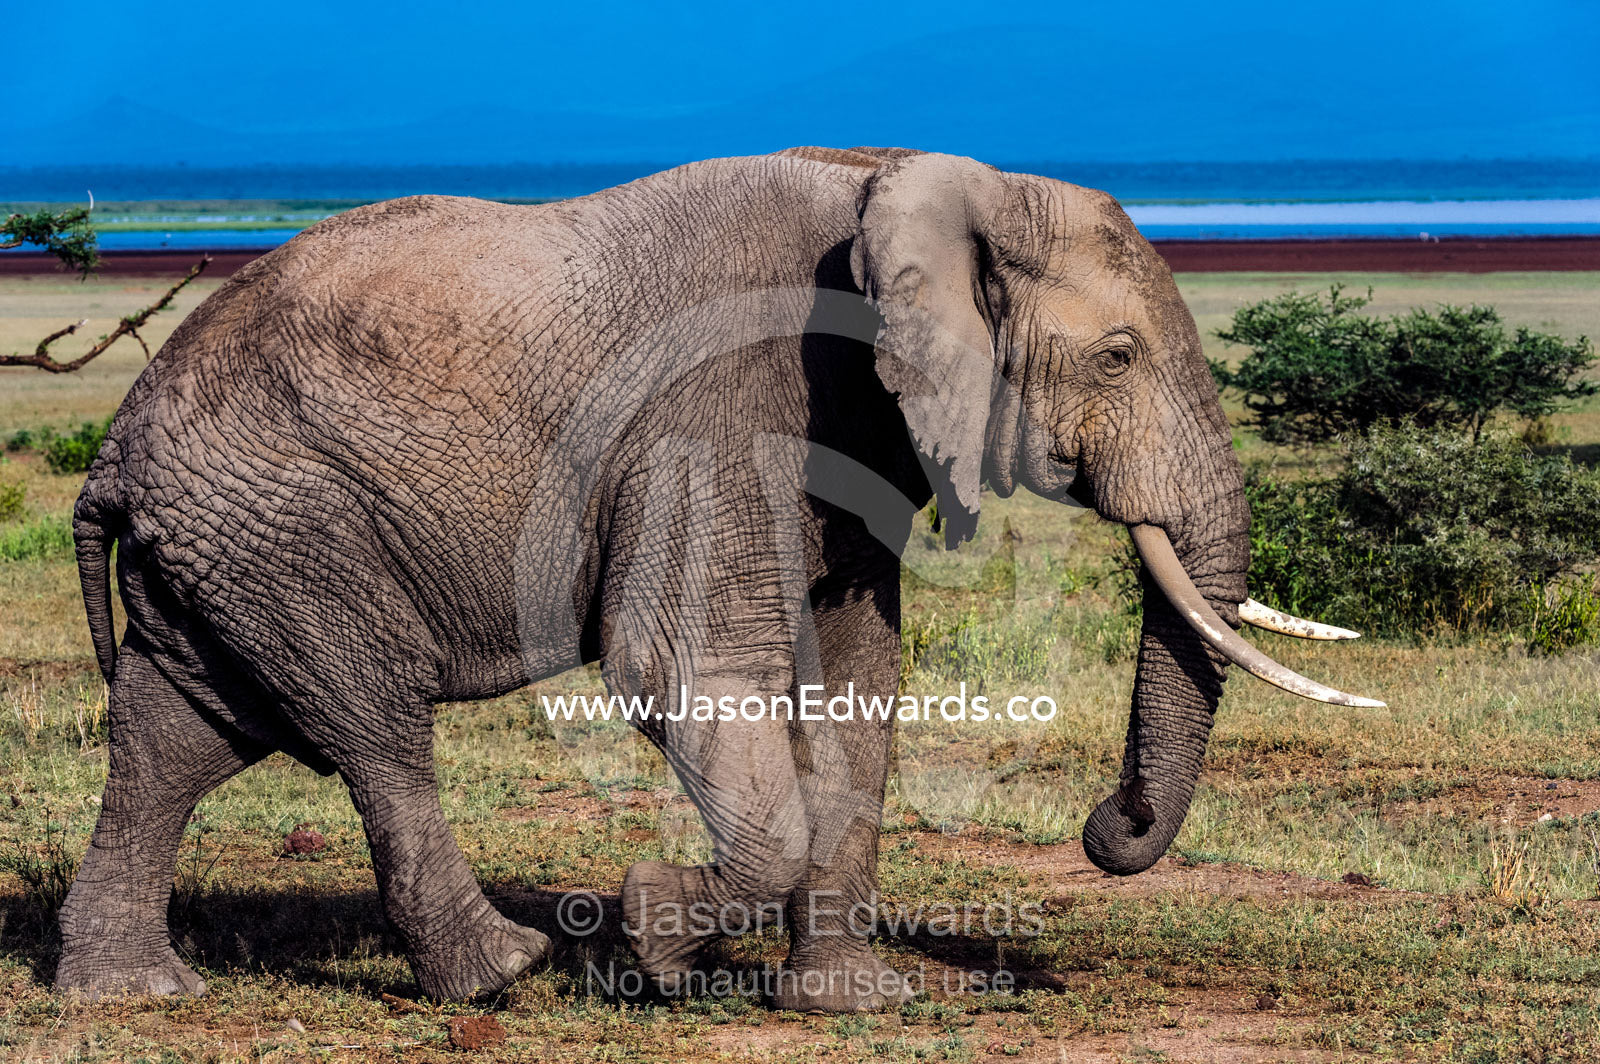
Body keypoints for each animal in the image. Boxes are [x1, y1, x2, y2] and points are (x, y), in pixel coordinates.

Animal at [57, 145, 1379, 1010]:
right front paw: (645, 934)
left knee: (179, 733)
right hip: (286, 514)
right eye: (1115, 356)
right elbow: (680, 670)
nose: (1111, 825)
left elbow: (853, 689)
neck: (907, 179)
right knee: (368, 722)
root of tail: (113, 450)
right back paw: (503, 973)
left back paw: (132, 995)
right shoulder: (725, 403)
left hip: (227, 538)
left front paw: (850, 1004)